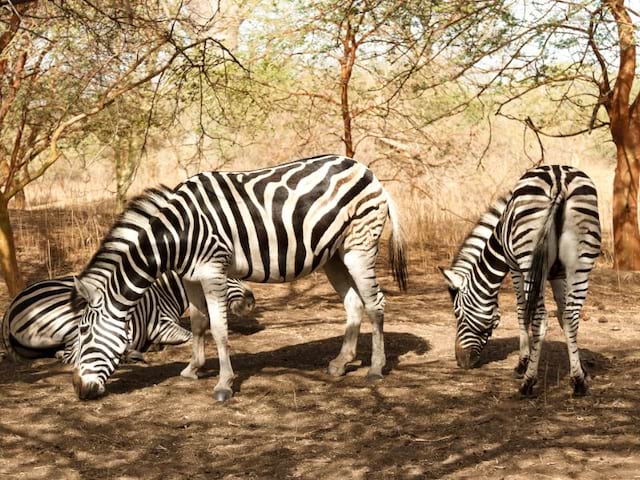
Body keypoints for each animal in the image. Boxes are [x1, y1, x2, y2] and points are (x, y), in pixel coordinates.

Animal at [3, 270, 258, 364]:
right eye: (229, 275)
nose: (251, 302)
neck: (164, 291)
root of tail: (10, 308)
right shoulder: (161, 325)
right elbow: (188, 335)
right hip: (74, 318)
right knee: (71, 355)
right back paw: (130, 354)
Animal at [71, 155, 410, 402]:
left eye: (84, 333)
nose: (77, 388)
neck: (176, 235)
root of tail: (366, 170)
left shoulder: (213, 270)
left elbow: (220, 329)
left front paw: (224, 384)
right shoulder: (190, 277)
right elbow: (198, 324)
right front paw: (192, 369)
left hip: (359, 246)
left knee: (375, 303)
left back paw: (376, 368)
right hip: (334, 256)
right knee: (354, 304)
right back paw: (341, 363)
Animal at [440, 165, 600, 398]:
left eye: (458, 315)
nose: (461, 362)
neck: (498, 236)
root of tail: (559, 179)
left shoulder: (514, 267)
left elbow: (521, 312)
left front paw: (522, 364)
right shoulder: (559, 274)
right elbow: (564, 316)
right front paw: (581, 370)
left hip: (529, 257)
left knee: (540, 319)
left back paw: (528, 382)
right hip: (580, 262)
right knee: (572, 315)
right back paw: (578, 384)